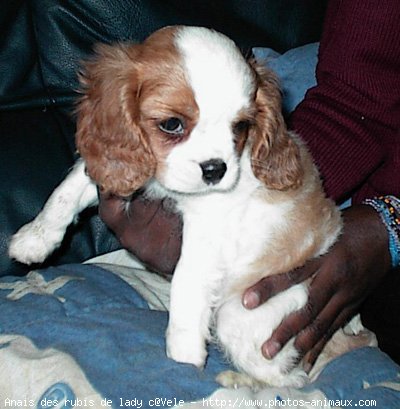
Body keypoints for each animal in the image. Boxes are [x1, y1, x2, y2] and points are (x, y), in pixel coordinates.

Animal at [7, 26, 376, 388]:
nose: (216, 169)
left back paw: (238, 381)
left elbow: (186, 278)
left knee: (290, 379)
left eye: (240, 127)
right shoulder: (116, 166)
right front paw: (34, 239)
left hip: (248, 313)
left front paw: (183, 353)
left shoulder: (208, 229)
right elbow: (68, 189)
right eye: (172, 124)